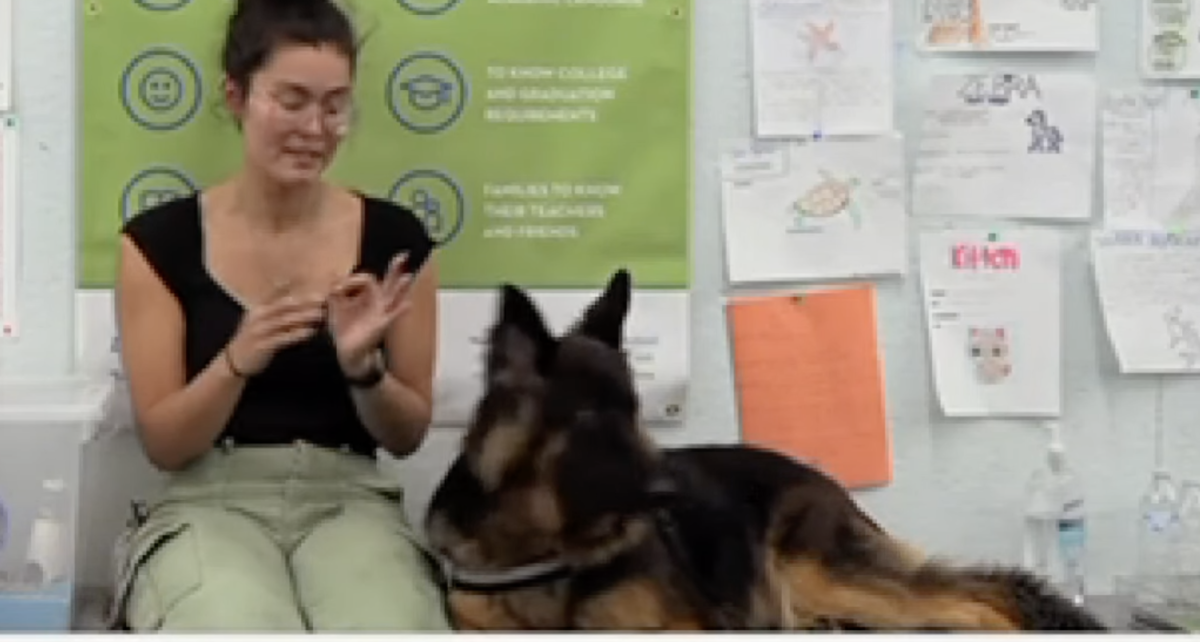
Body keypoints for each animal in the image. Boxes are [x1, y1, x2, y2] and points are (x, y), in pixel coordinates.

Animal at [424, 267, 1104, 633]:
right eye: (592, 419)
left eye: (637, 411)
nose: (673, 490)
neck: (545, 552)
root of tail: (822, 479)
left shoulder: (686, 628)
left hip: (819, 576)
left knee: (978, 606)